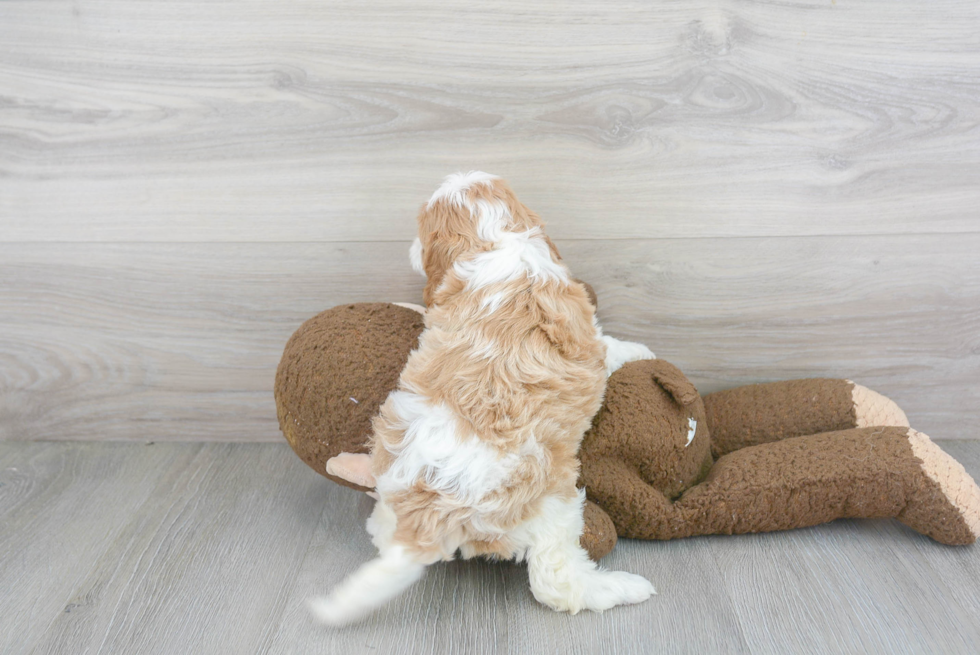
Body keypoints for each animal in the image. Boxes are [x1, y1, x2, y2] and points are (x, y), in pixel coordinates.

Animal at [310, 169, 656, 624]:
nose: (410, 247)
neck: (496, 239)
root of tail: (432, 503)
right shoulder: (588, 336)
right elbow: (612, 348)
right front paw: (642, 351)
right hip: (553, 504)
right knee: (556, 582)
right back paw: (621, 587)